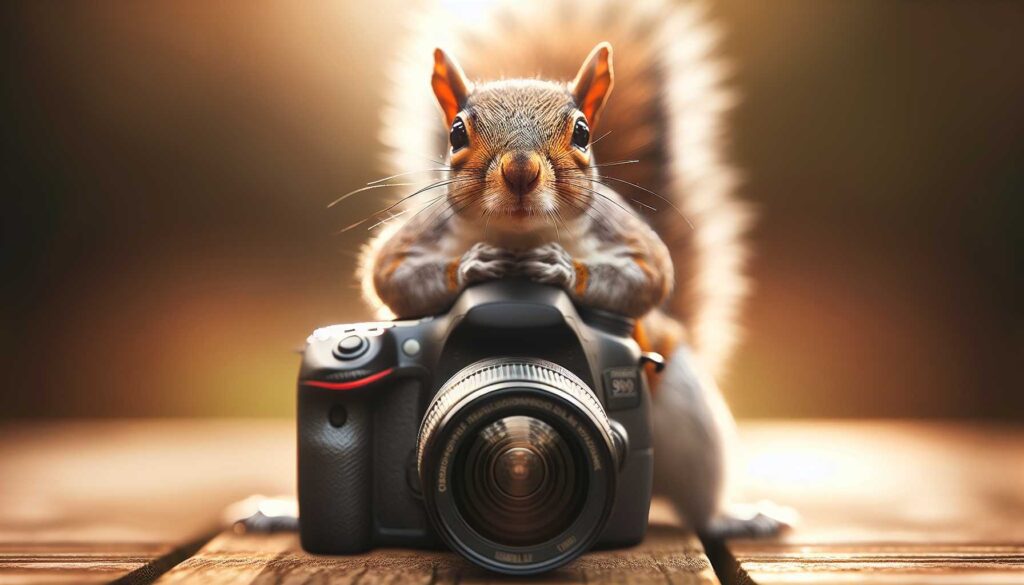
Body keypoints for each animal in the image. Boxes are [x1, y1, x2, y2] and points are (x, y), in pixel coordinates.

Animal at [353, 0, 785, 538]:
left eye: (581, 131)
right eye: (456, 132)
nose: (520, 170)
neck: (520, 237)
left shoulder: (626, 236)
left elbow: (651, 277)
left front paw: (559, 268)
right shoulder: (417, 237)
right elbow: (388, 276)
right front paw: (475, 265)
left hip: (686, 411)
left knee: (700, 495)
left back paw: (736, 519)